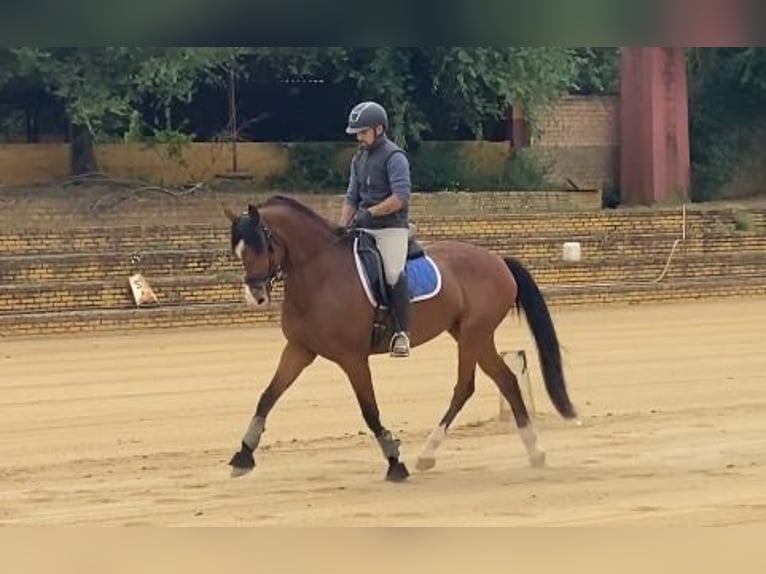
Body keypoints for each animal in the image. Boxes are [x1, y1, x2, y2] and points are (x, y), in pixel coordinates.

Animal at [224, 194, 577, 482]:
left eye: (261, 245)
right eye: (238, 250)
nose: (254, 296)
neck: (319, 274)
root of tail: (498, 259)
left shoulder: (353, 358)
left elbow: (370, 410)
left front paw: (395, 462)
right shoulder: (299, 349)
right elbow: (267, 397)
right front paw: (243, 455)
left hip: (473, 335)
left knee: (466, 387)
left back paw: (429, 453)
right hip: (472, 335)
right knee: (505, 381)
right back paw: (532, 451)